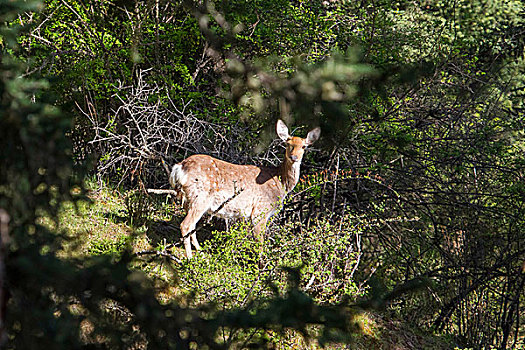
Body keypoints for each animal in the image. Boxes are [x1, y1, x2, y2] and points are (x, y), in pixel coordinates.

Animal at [171, 119, 320, 258]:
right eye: (288, 144)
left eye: (304, 146)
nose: (294, 157)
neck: (281, 182)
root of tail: (179, 167)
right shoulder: (260, 210)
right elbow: (259, 244)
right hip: (200, 197)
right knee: (185, 225)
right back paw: (190, 258)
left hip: (188, 199)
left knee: (191, 225)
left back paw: (200, 251)